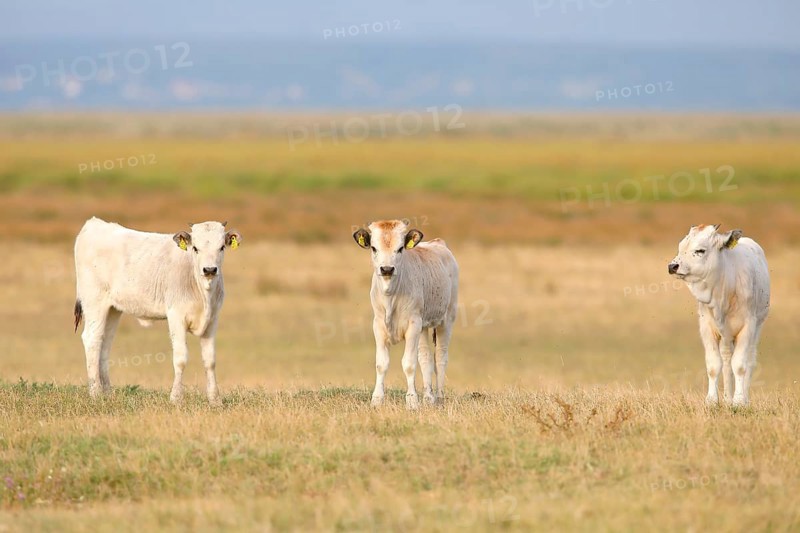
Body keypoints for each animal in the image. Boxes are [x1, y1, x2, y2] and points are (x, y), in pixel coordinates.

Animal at [73, 217, 242, 405]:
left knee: (105, 343)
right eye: (195, 248)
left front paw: (215, 400)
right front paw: (176, 398)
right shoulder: (176, 316)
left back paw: (107, 393)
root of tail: (94, 224)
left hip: (112, 309)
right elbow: (180, 358)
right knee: (92, 339)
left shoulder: (212, 319)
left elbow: (210, 360)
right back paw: (95, 393)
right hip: (94, 302)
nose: (210, 270)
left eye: (221, 247)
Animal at [353, 219, 459, 409]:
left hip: (446, 320)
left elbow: (409, 364)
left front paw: (412, 400)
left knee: (440, 357)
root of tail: (438, 243)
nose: (387, 269)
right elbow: (381, 363)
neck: (391, 294)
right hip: (423, 327)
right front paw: (377, 399)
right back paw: (428, 397)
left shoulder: (413, 325)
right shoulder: (378, 325)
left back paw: (439, 398)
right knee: (425, 358)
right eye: (374, 248)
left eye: (400, 248)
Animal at [668, 224, 770, 407]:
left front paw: (739, 401)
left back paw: (744, 398)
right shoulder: (707, 329)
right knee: (727, 360)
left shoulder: (747, 328)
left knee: (749, 360)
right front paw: (712, 400)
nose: (673, 266)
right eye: (681, 246)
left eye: (700, 250)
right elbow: (714, 365)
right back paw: (727, 397)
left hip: (757, 327)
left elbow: (740, 365)